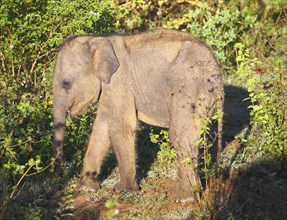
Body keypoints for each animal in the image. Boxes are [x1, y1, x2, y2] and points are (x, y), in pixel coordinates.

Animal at [53, 28, 225, 201]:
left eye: (66, 84)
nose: (60, 174)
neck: (97, 39)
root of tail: (217, 76)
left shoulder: (119, 82)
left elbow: (120, 127)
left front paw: (123, 190)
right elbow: (101, 127)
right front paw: (86, 188)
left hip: (189, 90)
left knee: (180, 137)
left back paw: (183, 198)